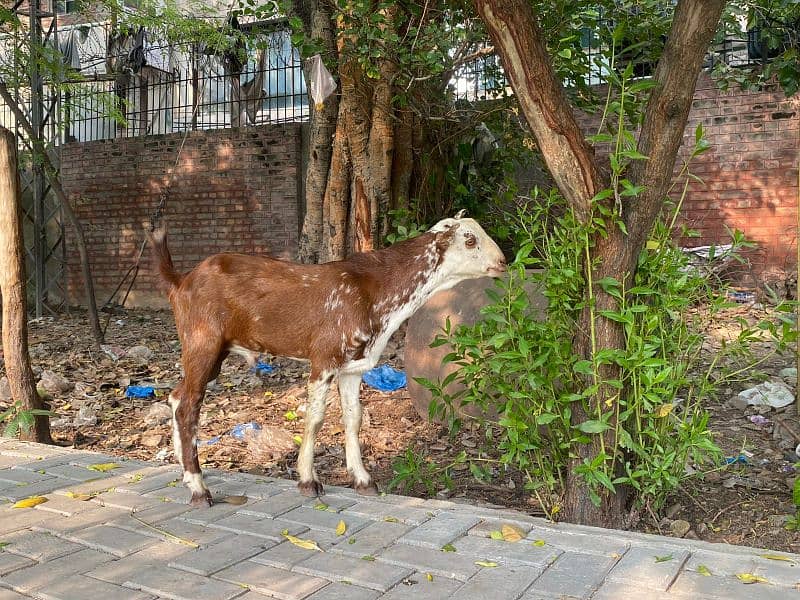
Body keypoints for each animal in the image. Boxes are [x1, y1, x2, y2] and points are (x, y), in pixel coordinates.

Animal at [148, 216, 506, 506]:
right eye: (469, 239)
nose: (503, 261)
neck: (375, 292)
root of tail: (181, 281)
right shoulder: (324, 359)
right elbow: (316, 417)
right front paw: (308, 480)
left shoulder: (353, 367)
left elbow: (353, 417)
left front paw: (362, 480)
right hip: (202, 341)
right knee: (189, 405)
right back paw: (199, 489)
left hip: (212, 353)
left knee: (176, 397)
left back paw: (186, 473)